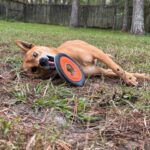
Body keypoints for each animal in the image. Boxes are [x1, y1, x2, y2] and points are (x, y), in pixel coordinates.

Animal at [16, 39, 150, 86]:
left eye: (35, 54)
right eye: (34, 69)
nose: (42, 61)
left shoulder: (97, 53)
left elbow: (117, 68)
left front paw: (129, 79)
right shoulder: (101, 71)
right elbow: (118, 71)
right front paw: (135, 76)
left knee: (108, 56)